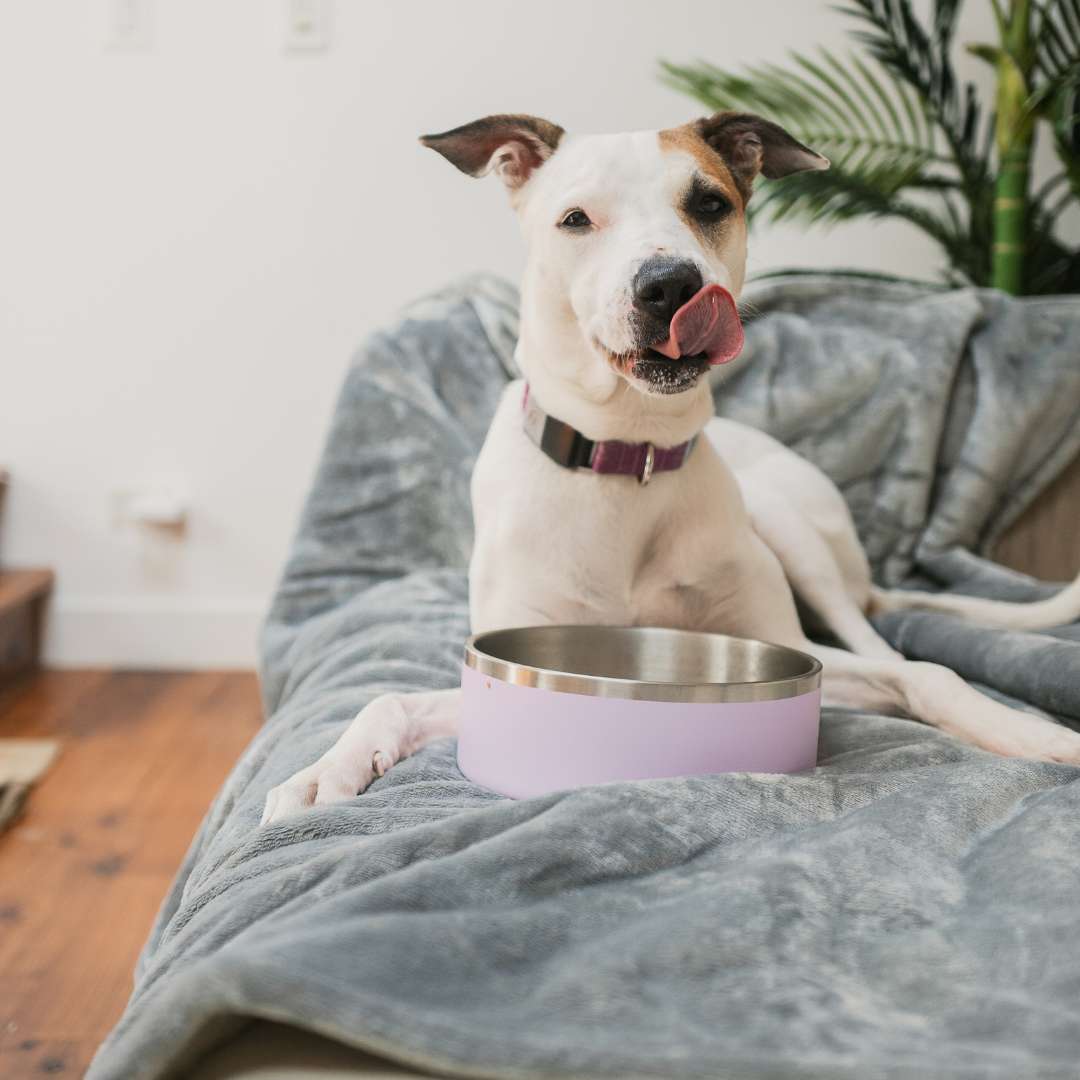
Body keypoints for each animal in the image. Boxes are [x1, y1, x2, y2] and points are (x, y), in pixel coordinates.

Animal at [261, 113, 1080, 820]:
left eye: (710, 202)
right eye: (576, 219)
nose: (671, 285)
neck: (630, 454)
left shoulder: (793, 648)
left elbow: (923, 674)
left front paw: (1031, 732)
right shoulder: (500, 656)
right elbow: (389, 698)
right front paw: (322, 773)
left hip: (790, 527)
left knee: (879, 634)